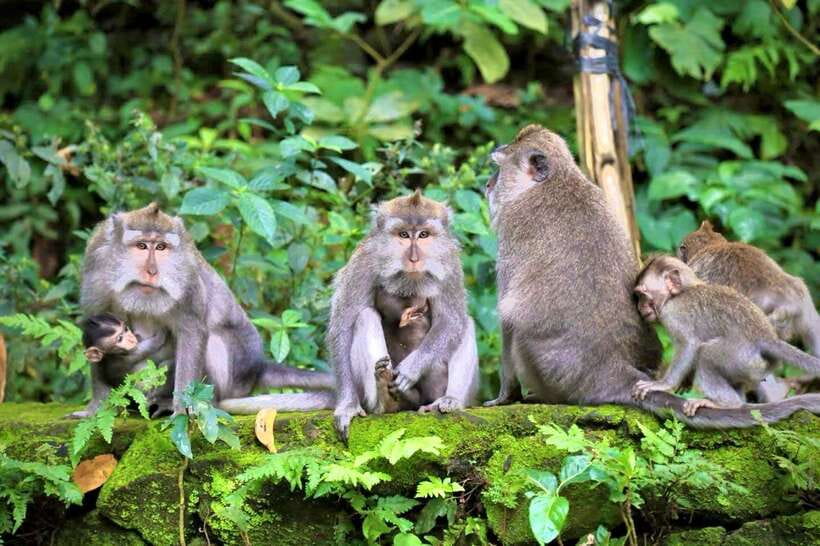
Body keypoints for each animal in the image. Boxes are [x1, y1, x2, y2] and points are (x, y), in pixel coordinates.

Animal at [79, 202, 336, 416]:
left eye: (161, 247)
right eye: (141, 246)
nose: (152, 271)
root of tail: (256, 368)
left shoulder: (189, 278)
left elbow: (192, 332)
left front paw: (180, 410)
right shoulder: (96, 267)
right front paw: (95, 408)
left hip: (233, 379)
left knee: (212, 340)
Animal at [327, 190, 479, 442]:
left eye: (424, 235)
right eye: (404, 235)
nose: (414, 258)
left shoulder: (450, 264)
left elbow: (452, 319)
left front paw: (411, 369)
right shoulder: (364, 262)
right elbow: (343, 327)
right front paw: (348, 405)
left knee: (465, 324)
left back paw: (449, 401)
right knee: (365, 317)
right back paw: (385, 399)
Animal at [633, 256, 820, 415]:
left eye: (643, 295)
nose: (640, 307)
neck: (682, 291)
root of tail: (768, 338)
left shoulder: (672, 314)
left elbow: (689, 344)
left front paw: (663, 385)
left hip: (741, 357)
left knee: (706, 354)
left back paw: (727, 404)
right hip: (753, 368)